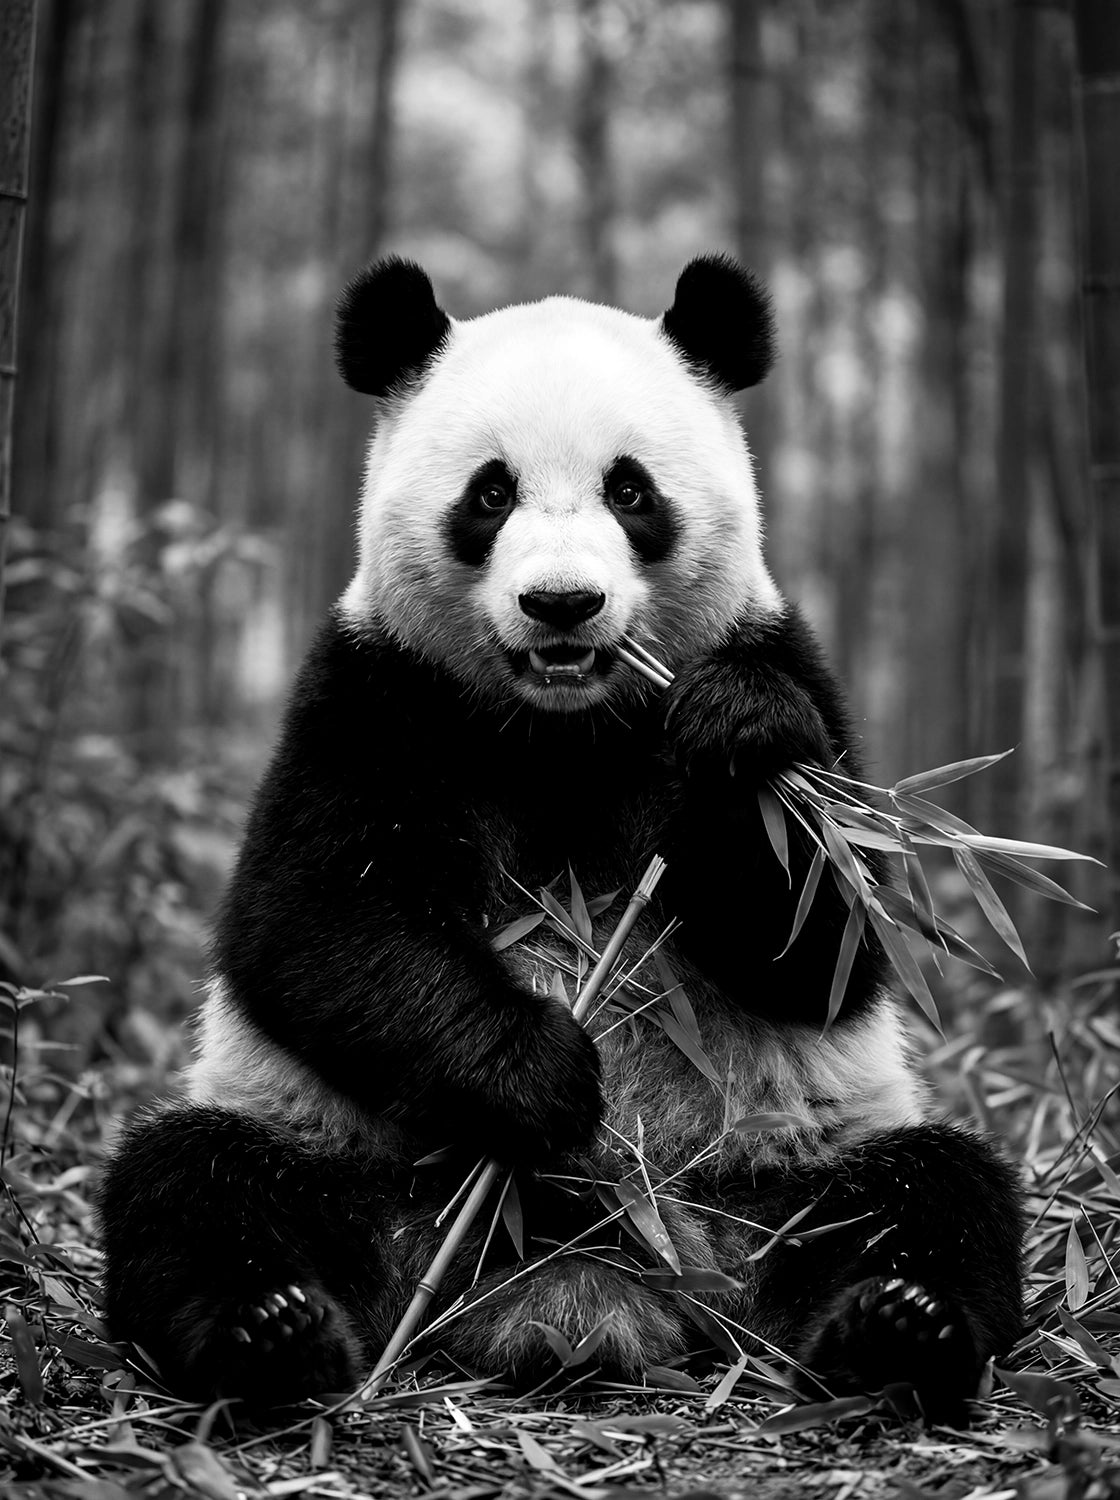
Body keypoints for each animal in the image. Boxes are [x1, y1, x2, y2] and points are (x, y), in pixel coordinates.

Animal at [99, 255, 1023, 1423]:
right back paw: (271, 1334)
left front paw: (740, 735)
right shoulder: (378, 692)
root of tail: (586, 1287)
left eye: (631, 492)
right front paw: (539, 1071)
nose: (562, 604)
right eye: (489, 494)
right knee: (194, 1184)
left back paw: (898, 1328)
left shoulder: (784, 665)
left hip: (774, 1175)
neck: (563, 728)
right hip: (357, 1167)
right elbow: (313, 917)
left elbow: (826, 943)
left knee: (930, 1191)